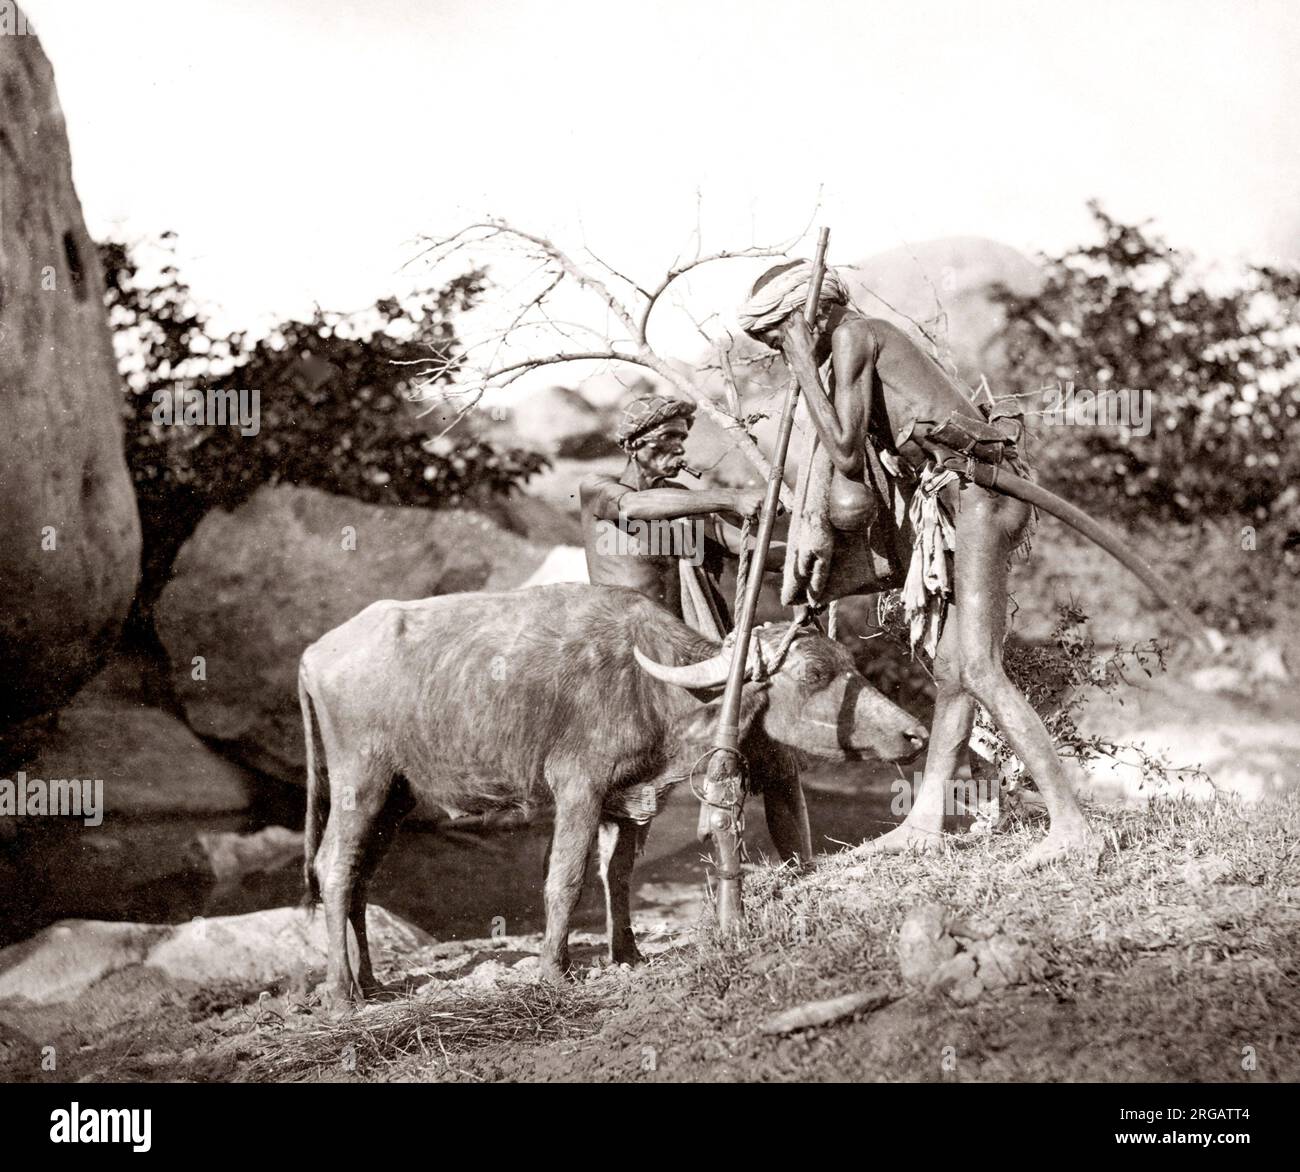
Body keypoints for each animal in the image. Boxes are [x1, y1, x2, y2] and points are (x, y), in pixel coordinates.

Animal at [297, 582, 925, 1003]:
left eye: (850, 663)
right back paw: (342, 993)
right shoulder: (579, 789)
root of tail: (313, 654)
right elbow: (566, 878)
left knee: (360, 877)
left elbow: (617, 873)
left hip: (397, 795)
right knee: (335, 866)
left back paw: (370, 980)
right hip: (360, 781)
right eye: (814, 675)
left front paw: (628, 953)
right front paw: (555, 969)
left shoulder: (633, 802)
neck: (650, 686)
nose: (915, 733)